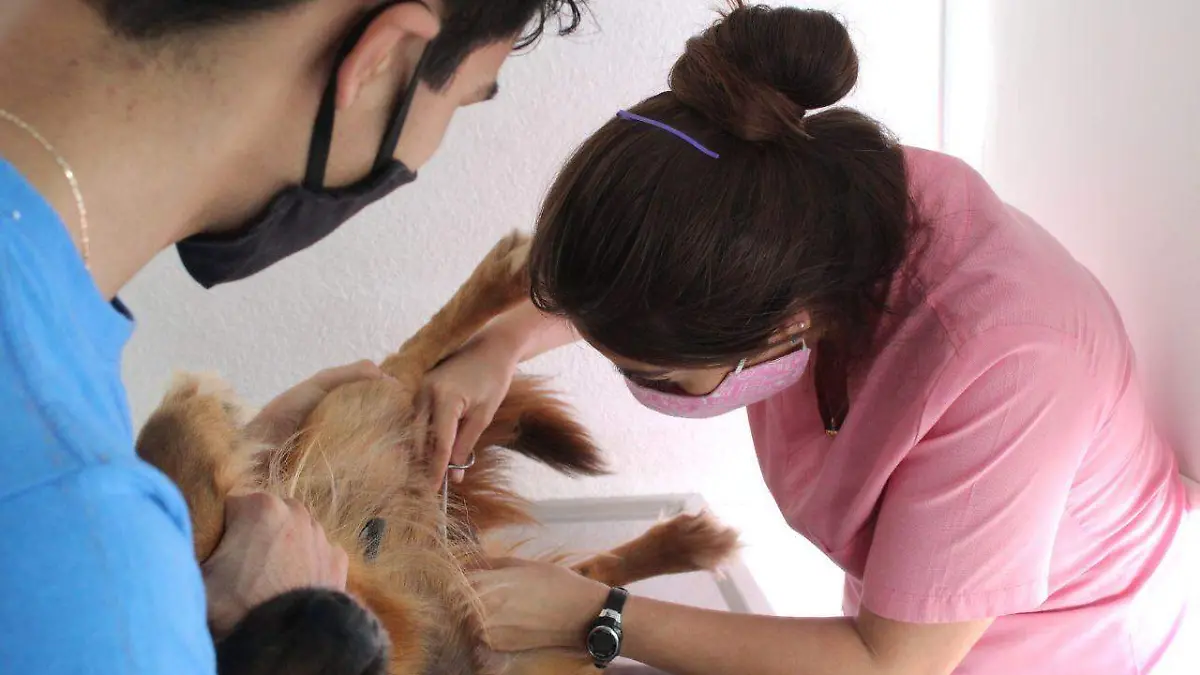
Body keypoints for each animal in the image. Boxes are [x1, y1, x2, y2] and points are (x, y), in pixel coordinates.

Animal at [135, 232, 740, 675]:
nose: (345, 618)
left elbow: (177, 480)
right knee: (585, 575)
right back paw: (693, 543)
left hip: (355, 418)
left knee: (406, 361)